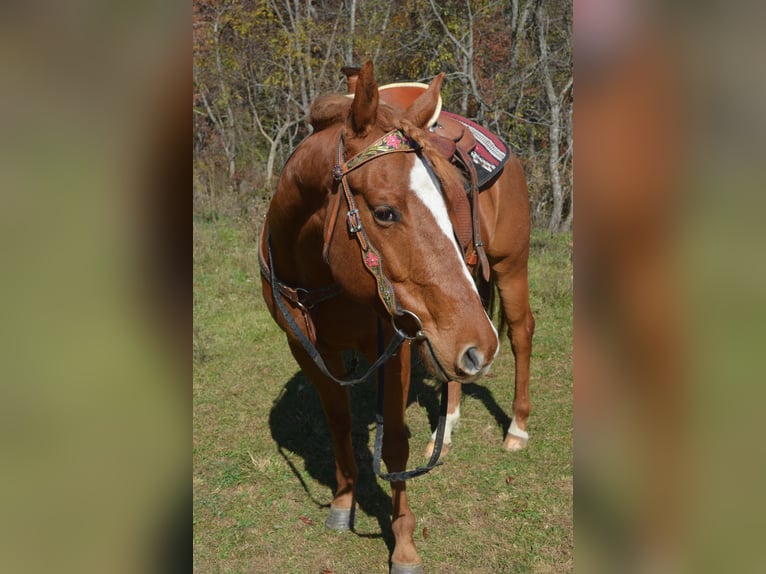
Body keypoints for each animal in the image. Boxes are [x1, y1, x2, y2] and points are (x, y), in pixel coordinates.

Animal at [258, 62, 536, 574]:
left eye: (448, 202)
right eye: (385, 213)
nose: (481, 346)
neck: (317, 275)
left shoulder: (394, 349)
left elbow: (394, 447)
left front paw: (404, 545)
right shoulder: (309, 350)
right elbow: (339, 421)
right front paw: (344, 502)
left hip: (510, 268)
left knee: (521, 333)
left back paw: (517, 430)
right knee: (452, 372)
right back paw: (446, 431)